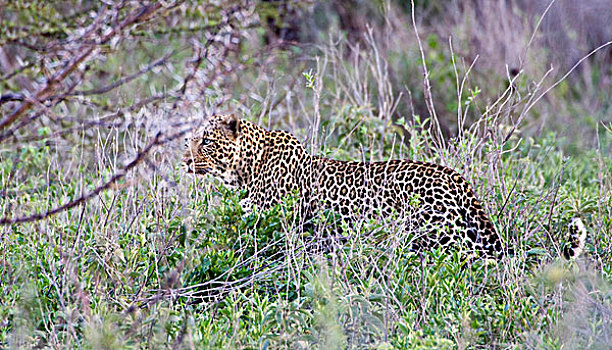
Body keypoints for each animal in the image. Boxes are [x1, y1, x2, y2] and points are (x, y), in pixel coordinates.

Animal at [183, 113, 588, 258]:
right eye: (191, 140)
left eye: (206, 141)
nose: (184, 160)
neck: (247, 164)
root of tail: (457, 178)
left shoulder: (266, 222)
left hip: (432, 233)